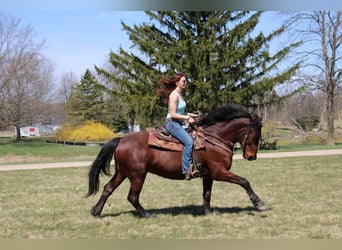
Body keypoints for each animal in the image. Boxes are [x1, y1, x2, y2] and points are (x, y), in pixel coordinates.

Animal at [85, 102, 268, 218]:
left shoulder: (208, 175)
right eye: (255, 134)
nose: (252, 156)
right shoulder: (219, 172)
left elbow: (207, 194)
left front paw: (208, 213)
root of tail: (121, 140)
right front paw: (259, 203)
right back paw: (147, 214)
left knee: (108, 188)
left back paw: (96, 211)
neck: (214, 139)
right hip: (137, 175)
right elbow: (244, 181)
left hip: (123, 172)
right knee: (132, 197)